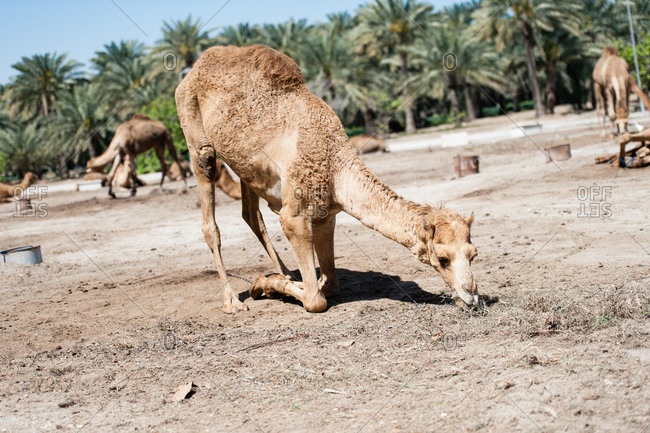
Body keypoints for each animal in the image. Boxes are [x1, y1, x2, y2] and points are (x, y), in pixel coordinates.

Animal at [176, 45, 478, 314]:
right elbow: (315, 300)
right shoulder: (295, 216)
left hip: (245, 165)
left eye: (474, 253)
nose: (471, 296)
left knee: (251, 214)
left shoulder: (325, 214)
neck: (335, 163)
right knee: (210, 219)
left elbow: (330, 285)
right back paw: (232, 301)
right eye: (443, 258)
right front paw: (265, 282)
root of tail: (195, 67)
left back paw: (284, 272)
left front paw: (280, 280)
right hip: (197, 139)